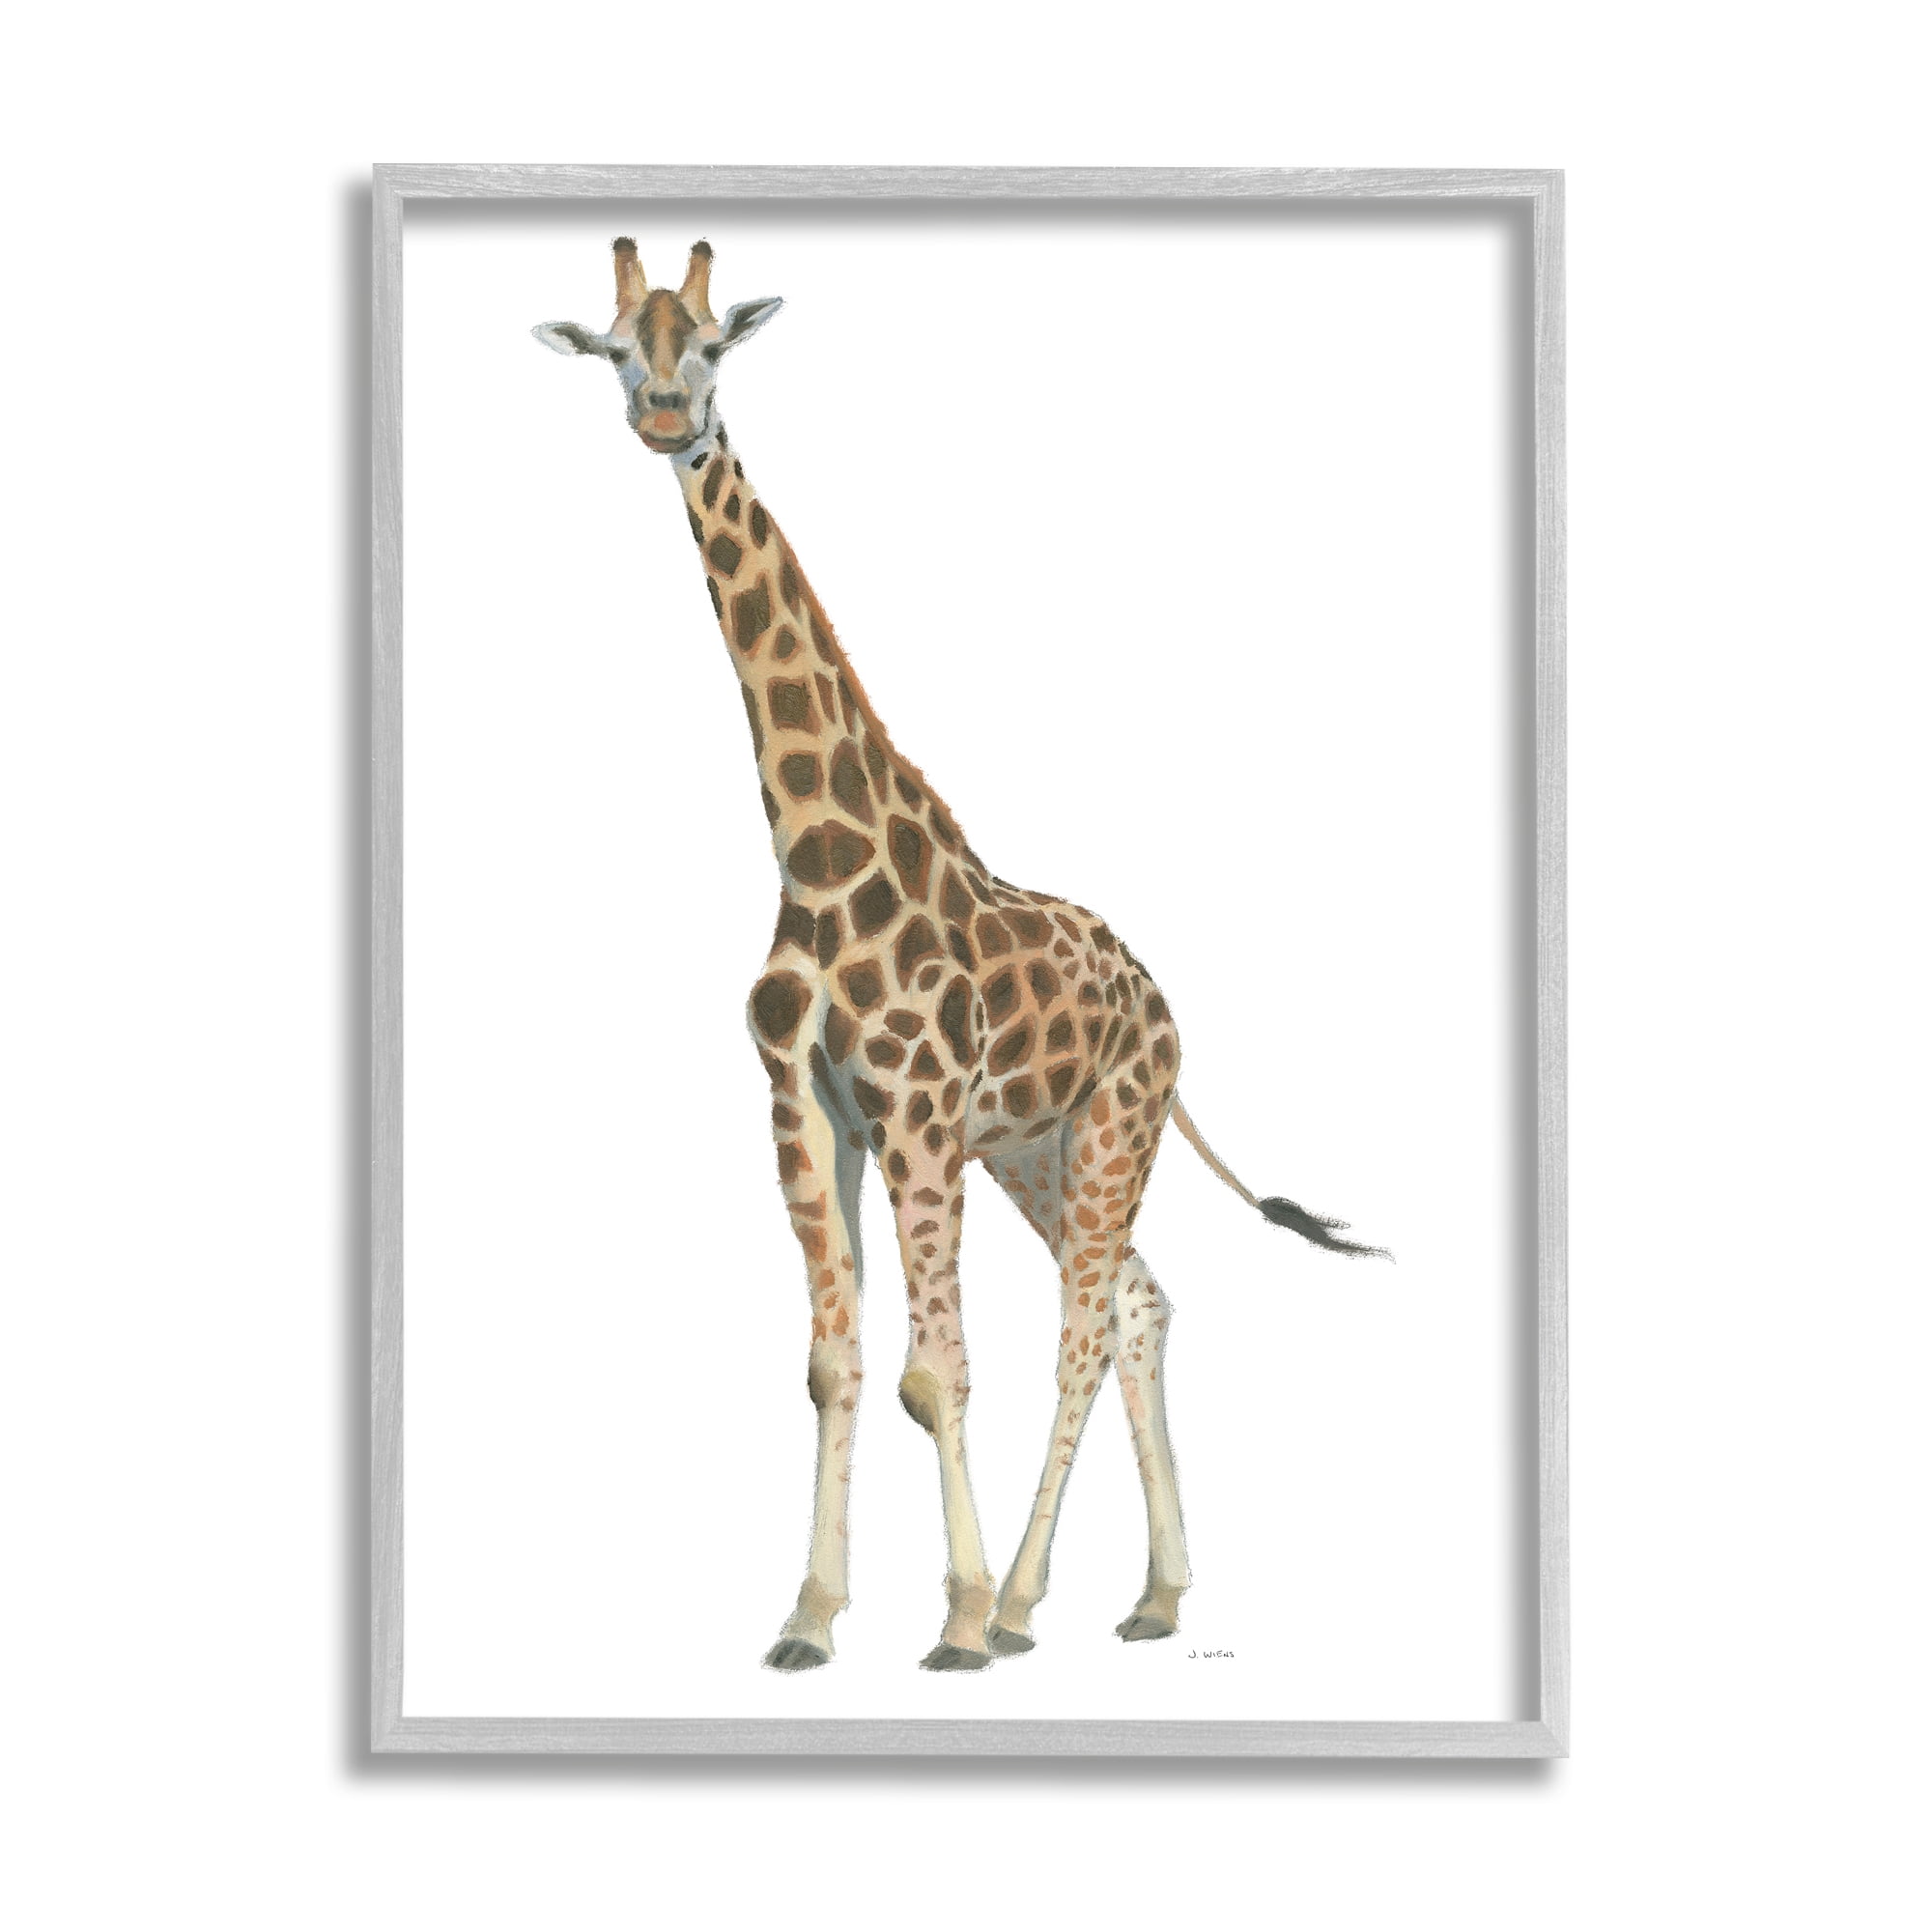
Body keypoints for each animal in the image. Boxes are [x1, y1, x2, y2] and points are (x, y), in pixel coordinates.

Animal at [534, 239, 1384, 1672]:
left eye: (709, 345)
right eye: (610, 348)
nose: (663, 418)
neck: (814, 855)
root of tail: (1161, 1000)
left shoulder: (918, 1113)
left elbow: (938, 1370)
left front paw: (961, 1614)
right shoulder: (812, 1109)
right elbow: (832, 1363)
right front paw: (810, 1616)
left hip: (1107, 1131)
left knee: (1086, 1324)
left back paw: (1031, 1602)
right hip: (1038, 1150)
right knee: (1141, 1302)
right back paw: (1145, 1596)